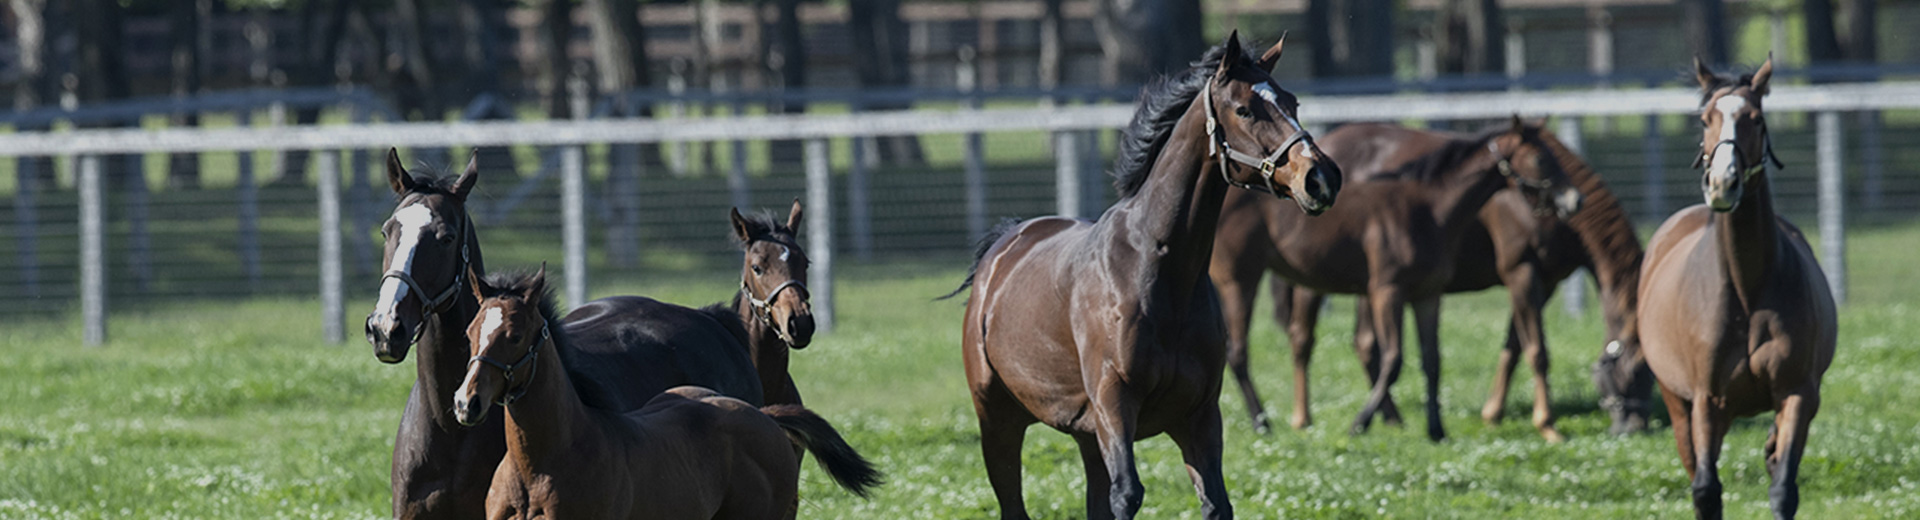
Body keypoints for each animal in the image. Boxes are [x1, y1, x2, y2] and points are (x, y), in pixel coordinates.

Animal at [944, 31, 1336, 519]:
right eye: (1245, 108)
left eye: (1292, 102)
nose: (1321, 177)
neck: (1161, 274)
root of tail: (1003, 246)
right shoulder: (1115, 405)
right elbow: (1127, 494)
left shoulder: (1197, 416)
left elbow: (1215, 502)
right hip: (998, 419)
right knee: (1013, 502)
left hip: (1086, 436)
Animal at [1213, 122, 1651, 442]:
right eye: (1638, 369)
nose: (1634, 427)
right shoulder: (1520, 272)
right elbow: (1536, 350)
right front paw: (1547, 425)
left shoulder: (1538, 282)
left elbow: (1498, 348)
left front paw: (1486, 414)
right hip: (1271, 280)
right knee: (1288, 342)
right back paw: (1288, 418)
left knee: (1361, 344)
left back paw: (1388, 417)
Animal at [1643, 56, 1835, 519]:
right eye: (1705, 119)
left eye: (1756, 118)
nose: (1723, 183)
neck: (1747, 293)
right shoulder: (1707, 401)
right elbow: (1705, 489)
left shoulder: (1797, 391)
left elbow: (1783, 485)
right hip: (1677, 403)